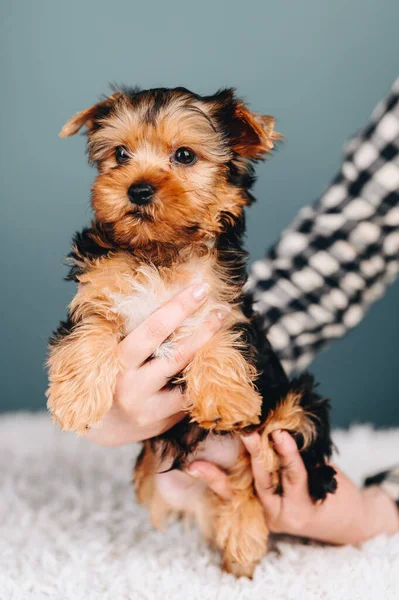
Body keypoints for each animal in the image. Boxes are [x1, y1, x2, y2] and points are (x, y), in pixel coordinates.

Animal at [47, 85, 338, 576]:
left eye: (184, 155)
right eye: (120, 154)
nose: (137, 188)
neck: (160, 252)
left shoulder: (222, 301)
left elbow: (219, 335)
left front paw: (224, 401)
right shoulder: (97, 291)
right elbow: (90, 330)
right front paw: (77, 399)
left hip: (297, 405)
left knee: (271, 459)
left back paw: (255, 510)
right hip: (152, 476)